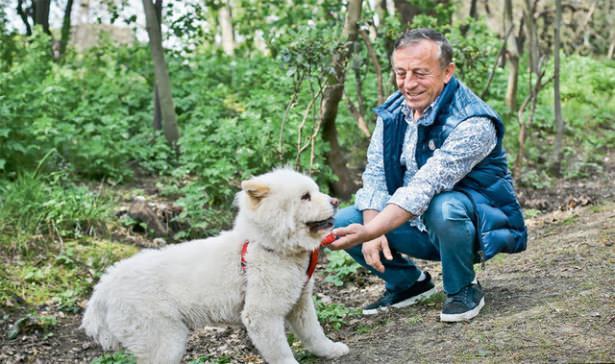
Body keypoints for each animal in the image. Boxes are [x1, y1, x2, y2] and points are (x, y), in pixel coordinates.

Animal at [82, 170, 348, 364]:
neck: (269, 247)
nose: (336, 201)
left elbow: (315, 333)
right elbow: (281, 353)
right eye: (305, 196)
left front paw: (331, 350)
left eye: (315, 191)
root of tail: (102, 289)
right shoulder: (261, 316)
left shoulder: (300, 303)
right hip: (164, 341)